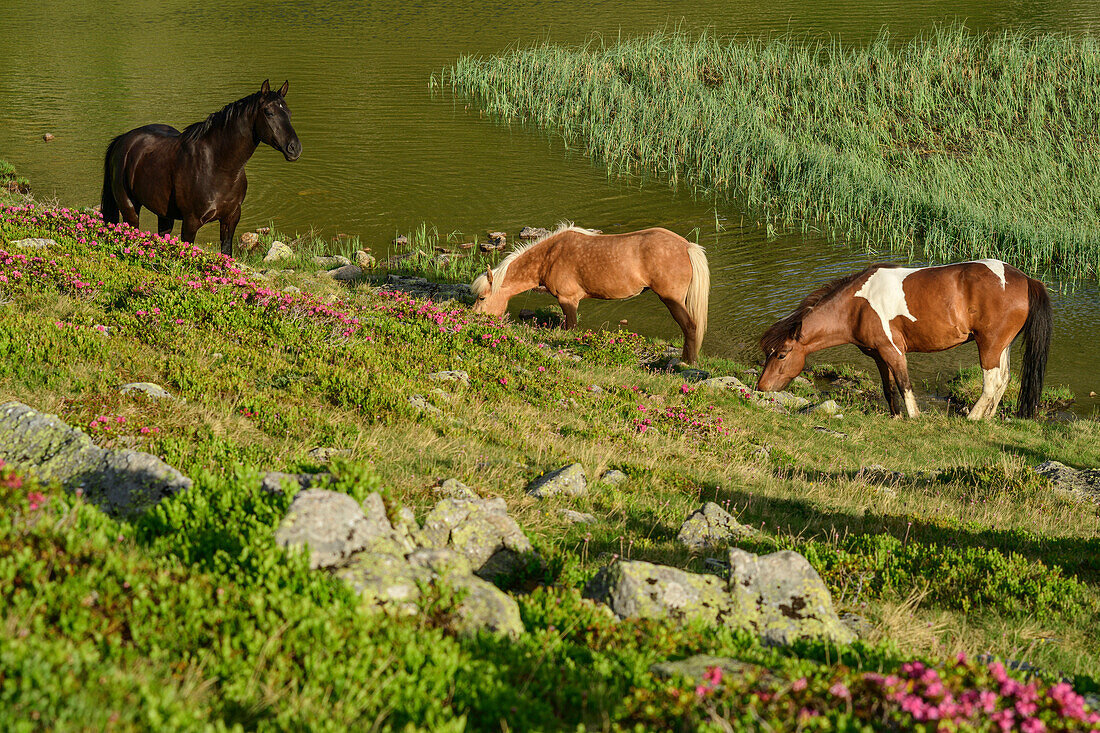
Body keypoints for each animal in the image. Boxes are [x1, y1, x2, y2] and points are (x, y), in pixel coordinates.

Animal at [101, 78, 299, 255]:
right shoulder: (191, 222)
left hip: (164, 214)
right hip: (130, 208)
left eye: (289, 113)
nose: (295, 148)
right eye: (269, 112)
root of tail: (123, 139)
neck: (219, 166)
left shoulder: (230, 219)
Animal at [468, 221, 708, 360]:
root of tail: (687, 246)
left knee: (690, 327)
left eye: (482, 297)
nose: (474, 320)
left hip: (672, 300)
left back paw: (687, 363)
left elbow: (570, 329)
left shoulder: (568, 301)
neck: (550, 255)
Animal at [756, 258, 1047, 416]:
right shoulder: (878, 355)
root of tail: (1025, 279)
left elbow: (905, 384)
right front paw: (895, 416)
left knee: (991, 383)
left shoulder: (893, 350)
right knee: (1004, 380)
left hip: (989, 344)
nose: (761, 387)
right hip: (1002, 346)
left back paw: (973, 419)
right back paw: (987, 418)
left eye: (781, 354)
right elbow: (888, 388)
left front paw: (914, 417)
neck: (856, 306)